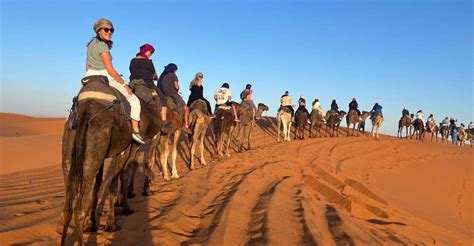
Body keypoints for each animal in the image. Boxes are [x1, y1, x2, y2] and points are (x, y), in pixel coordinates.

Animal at [61, 76, 134, 244]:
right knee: (79, 208)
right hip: (95, 147)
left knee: (67, 208)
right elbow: (114, 183)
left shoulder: (102, 155)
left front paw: (93, 224)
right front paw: (112, 224)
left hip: (71, 150)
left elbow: (98, 185)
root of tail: (86, 110)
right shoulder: (123, 150)